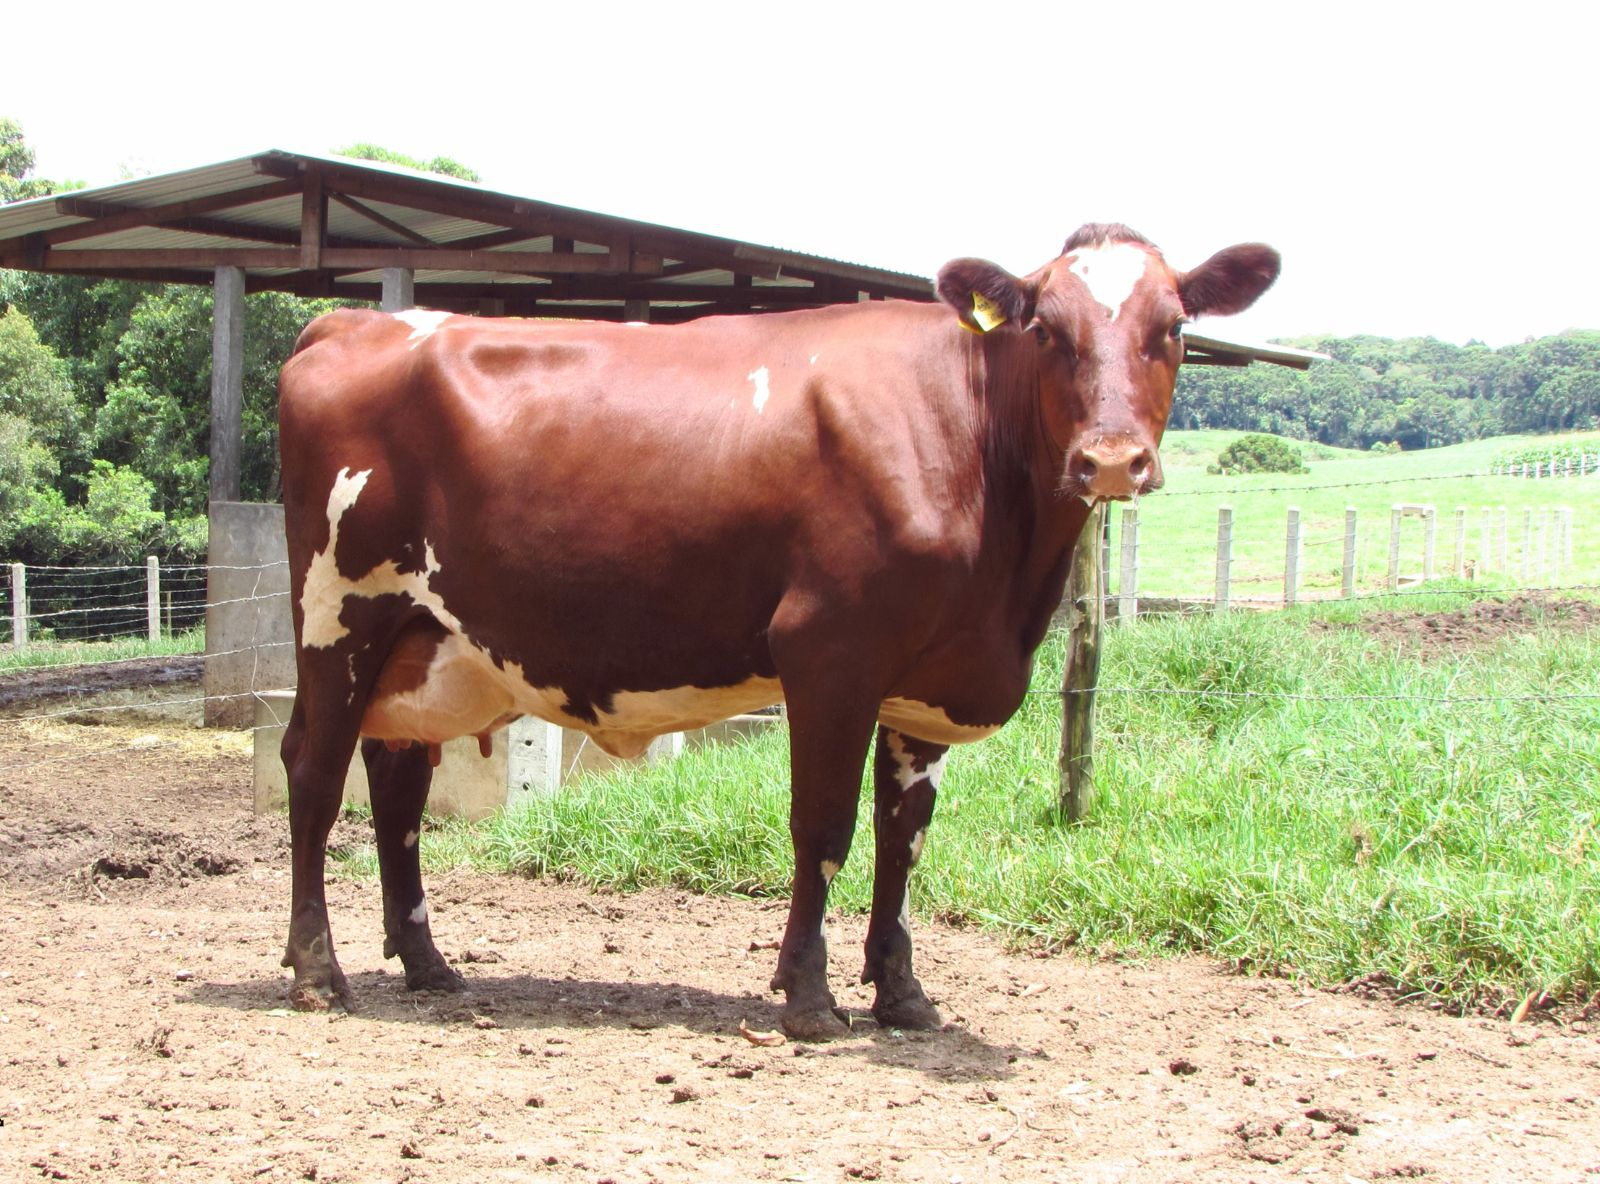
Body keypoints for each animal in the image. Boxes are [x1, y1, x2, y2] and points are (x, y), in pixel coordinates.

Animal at [276, 223, 1280, 1039]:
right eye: (1046, 330)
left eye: (1172, 328)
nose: (1111, 459)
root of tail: (349, 323)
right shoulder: (830, 651)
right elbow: (824, 826)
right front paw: (809, 997)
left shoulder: (927, 680)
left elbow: (904, 840)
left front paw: (903, 995)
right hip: (339, 611)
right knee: (316, 772)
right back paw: (318, 972)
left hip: (424, 642)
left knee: (397, 788)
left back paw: (428, 965)